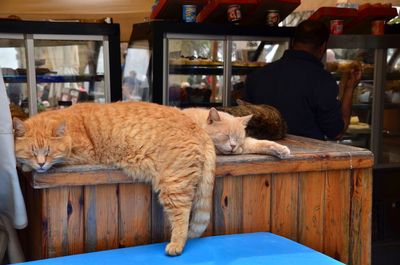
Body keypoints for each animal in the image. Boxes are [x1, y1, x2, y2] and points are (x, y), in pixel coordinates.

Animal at [12, 100, 216, 254]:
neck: (70, 126)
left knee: (183, 214)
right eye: (32, 152)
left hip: (173, 185)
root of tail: (197, 127)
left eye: (49, 152)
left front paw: (27, 166)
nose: (40, 164)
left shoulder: (83, 154)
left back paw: (176, 245)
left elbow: (61, 160)